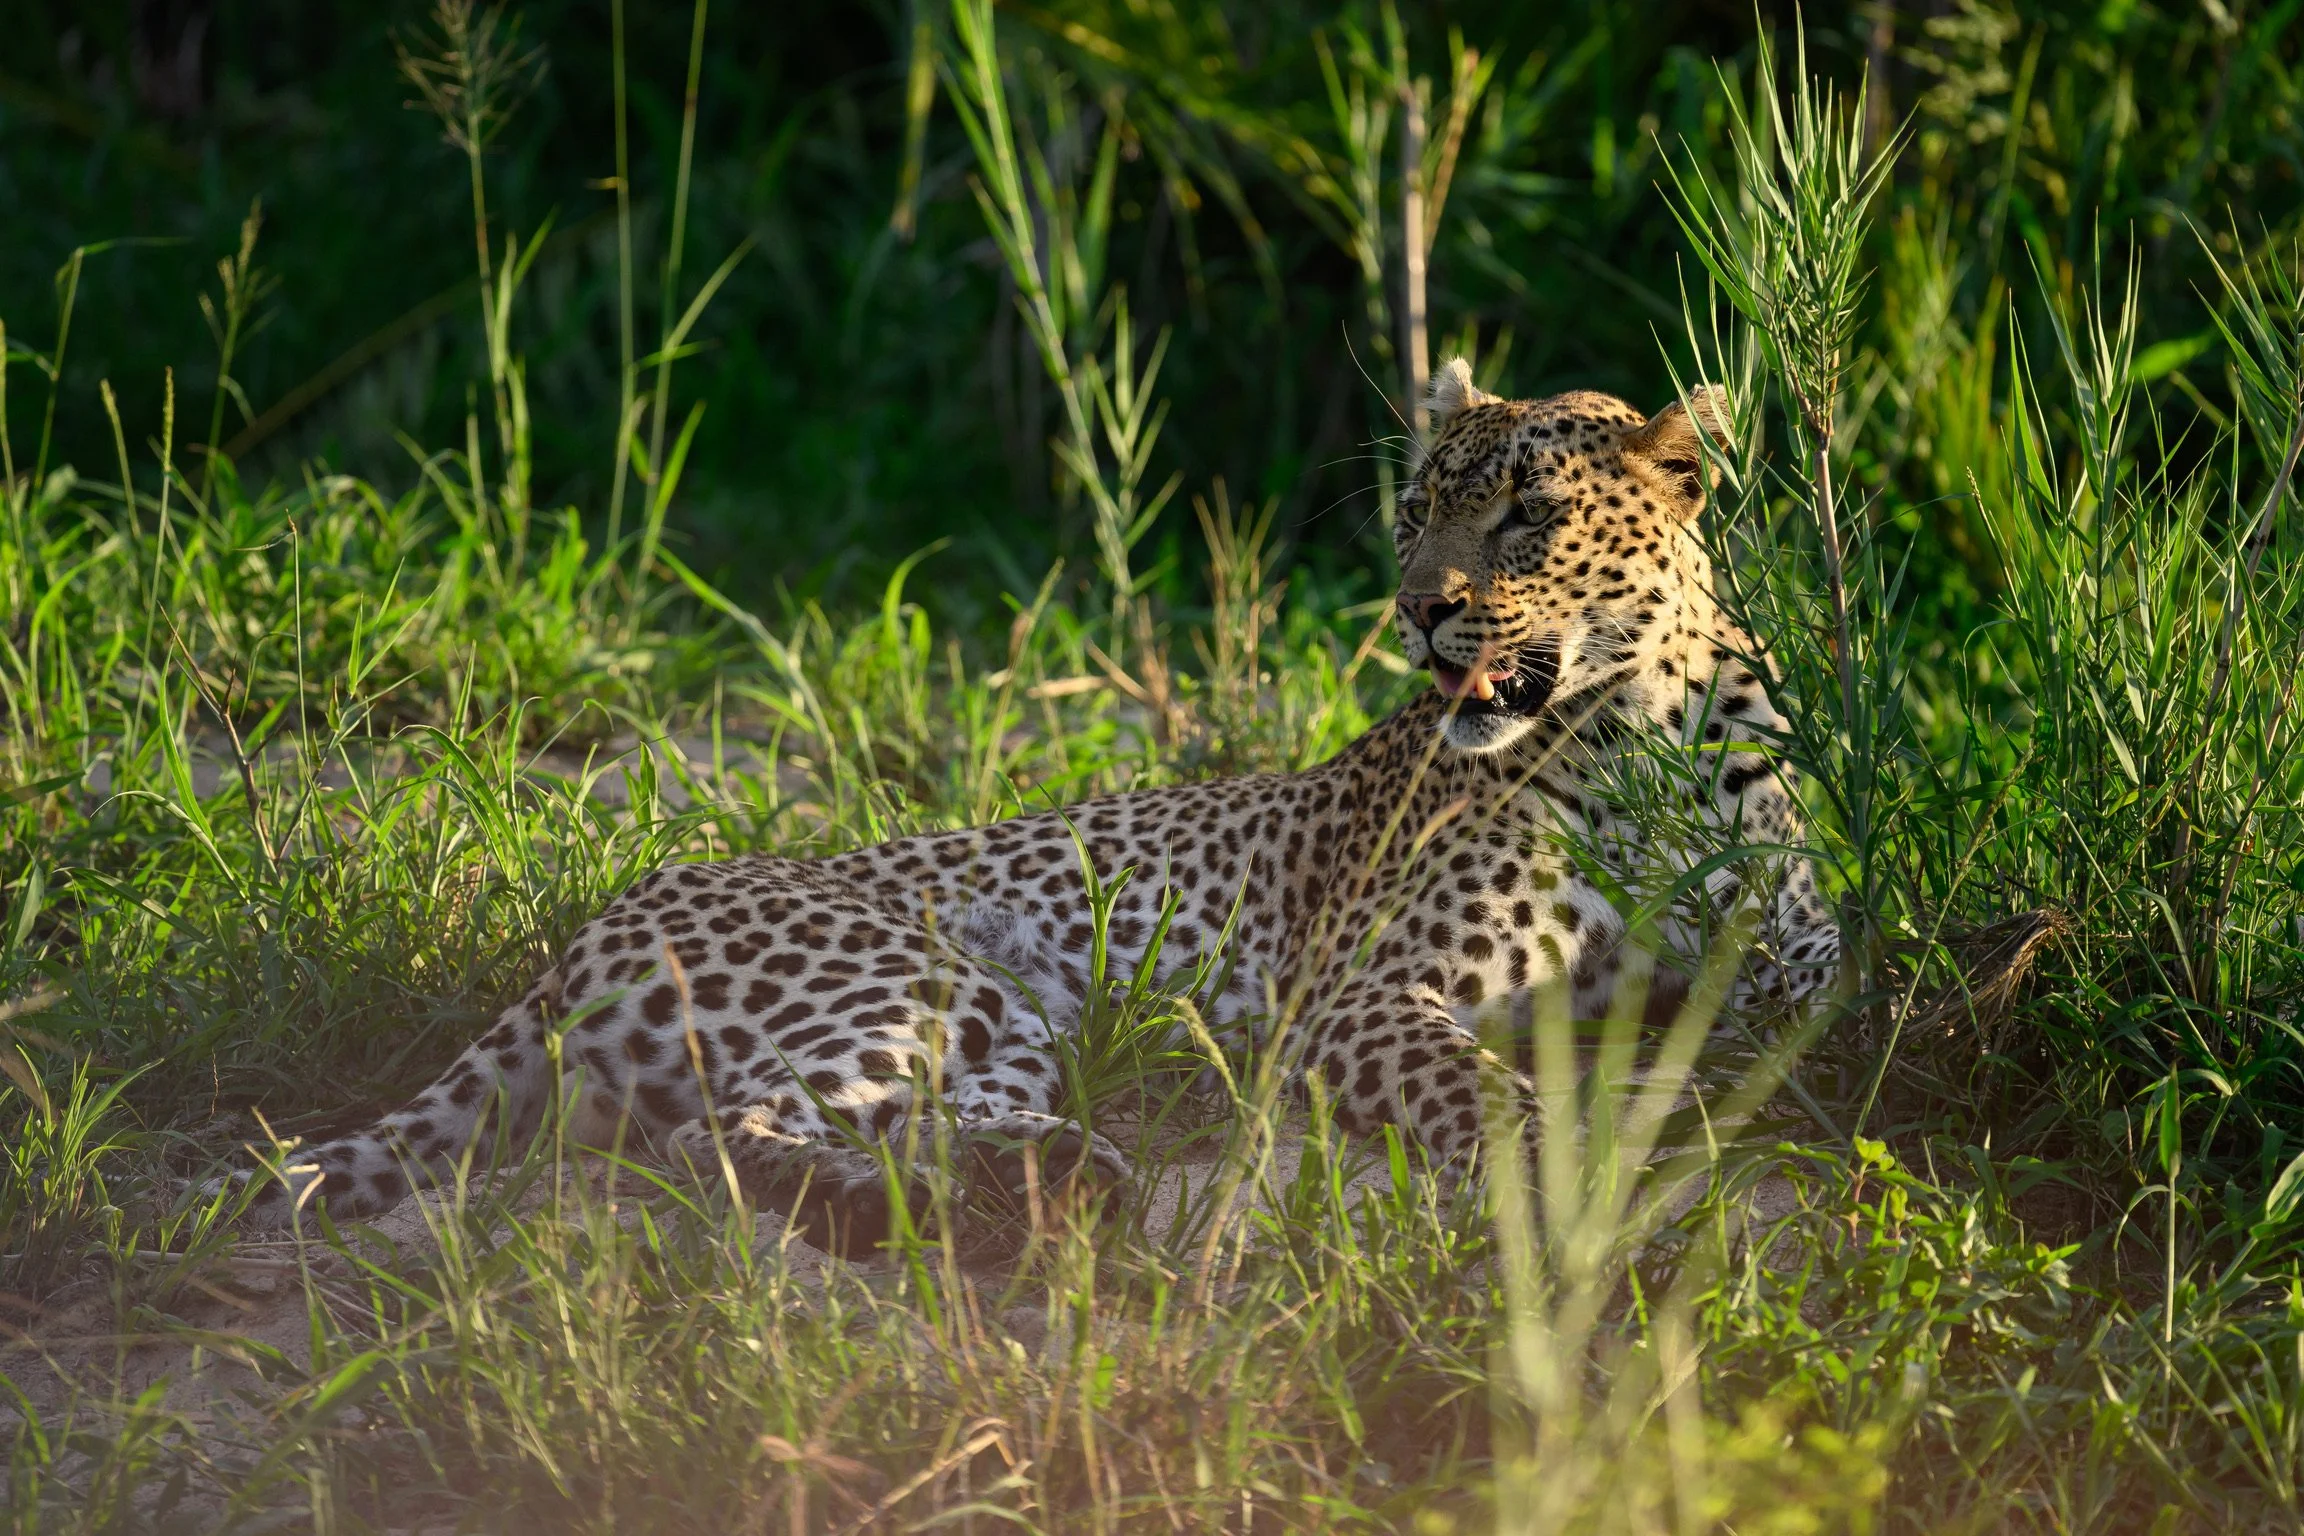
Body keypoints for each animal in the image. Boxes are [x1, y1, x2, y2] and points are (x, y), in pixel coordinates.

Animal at [218, 359, 1841, 1249]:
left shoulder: (1798, 962)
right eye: (1413, 507)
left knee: (890, 1122)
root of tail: (585, 936)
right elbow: (1490, 1096)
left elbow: (1817, 1005)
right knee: (718, 1141)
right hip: (914, 979)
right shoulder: (1365, 993)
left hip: (1004, 1026)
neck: (1649, 731)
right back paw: (976, 1210)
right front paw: (1576, 1173)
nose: (1419, 610)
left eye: (1528, 517)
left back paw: (1050, 1183)